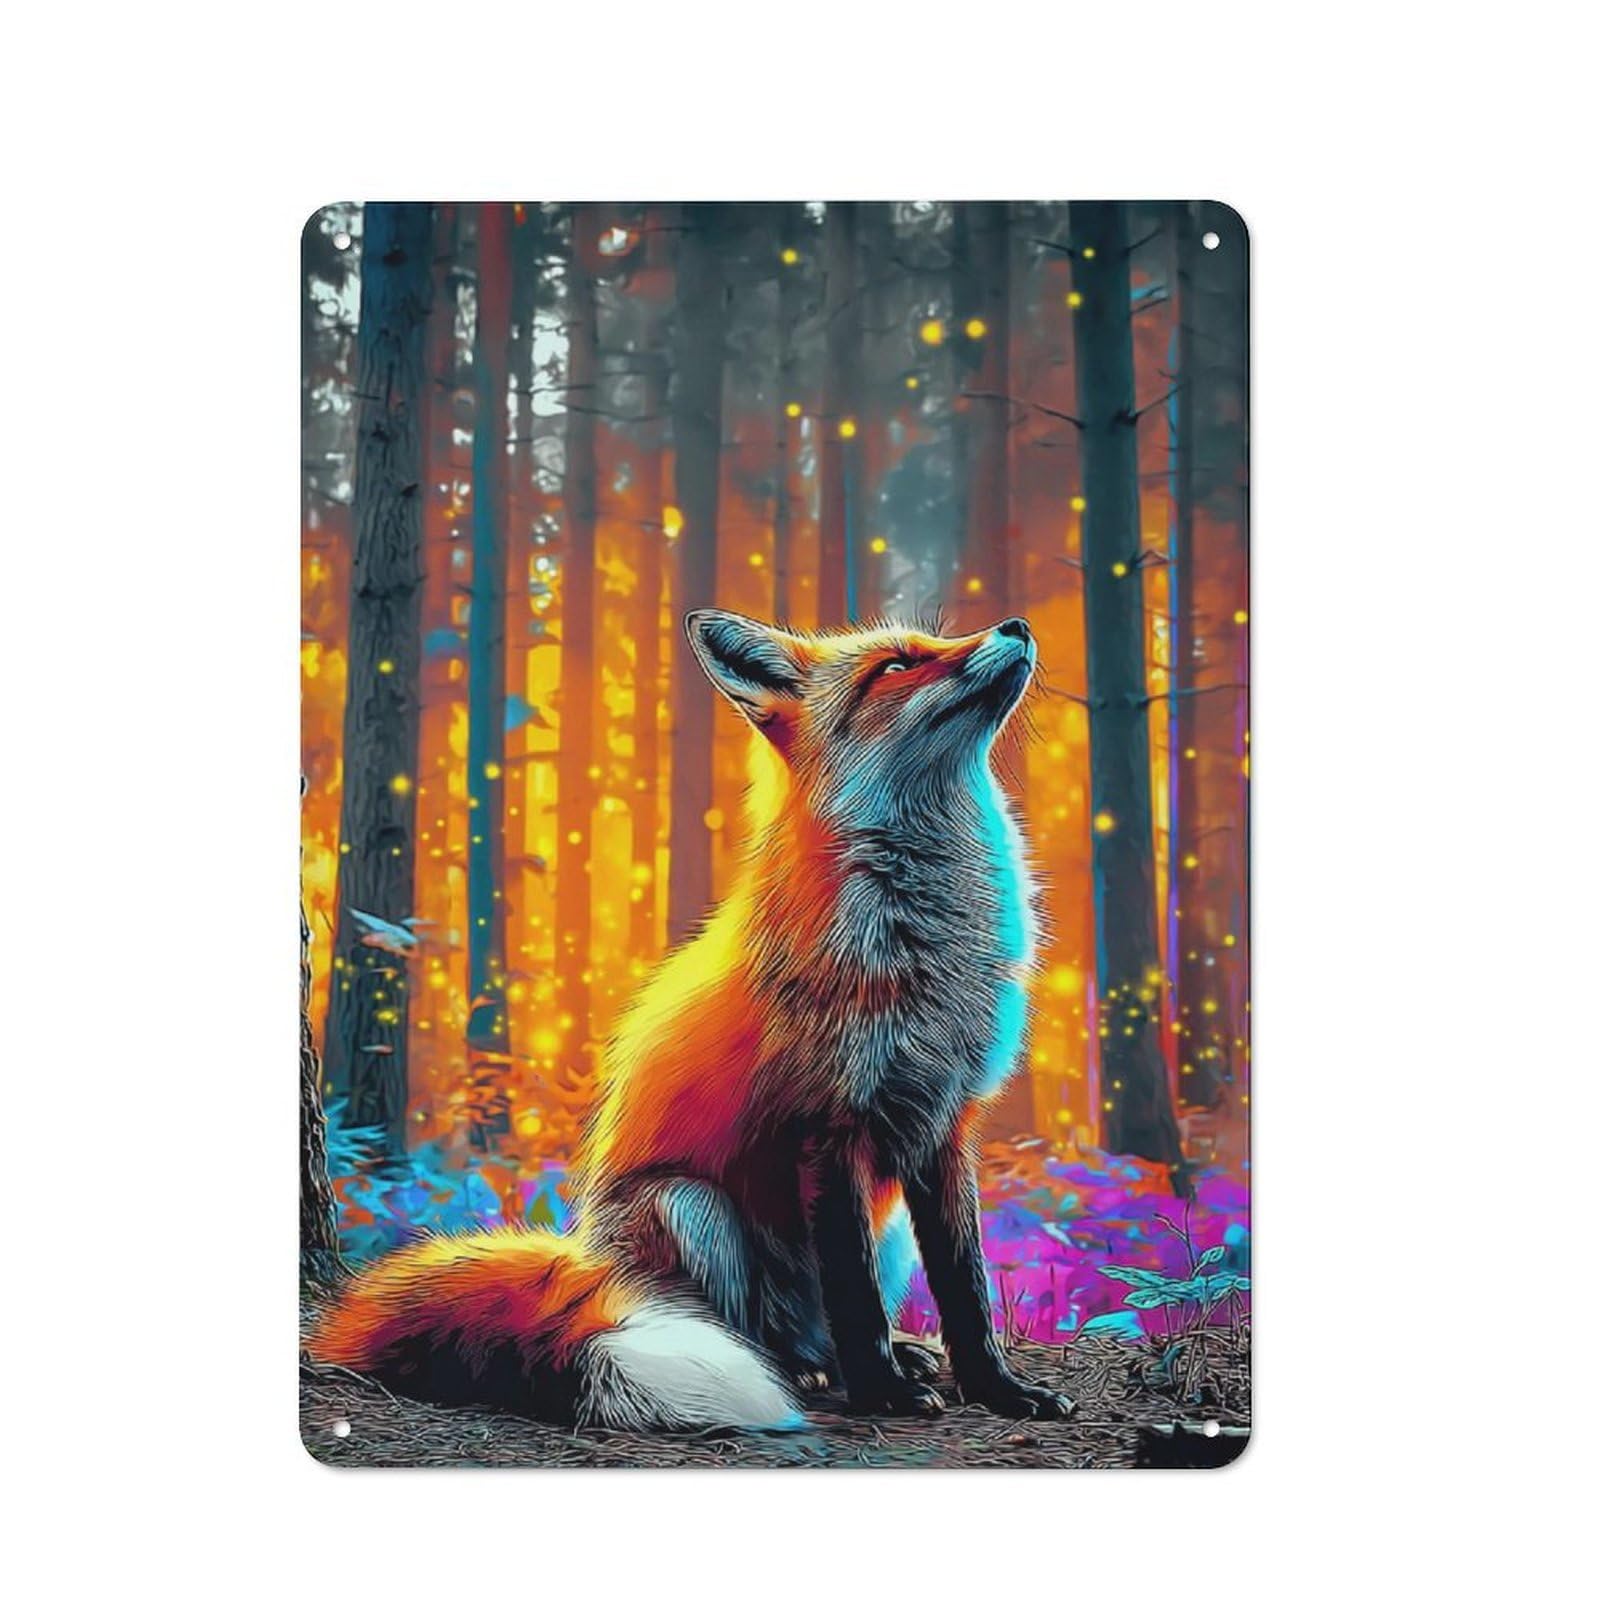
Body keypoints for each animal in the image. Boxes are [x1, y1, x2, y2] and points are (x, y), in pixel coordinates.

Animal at [309, 609, 1072, 1431]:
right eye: (897, 666)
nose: (1016, 624)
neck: (923, 950)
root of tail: (586, 1260)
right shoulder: (826, 1125)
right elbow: (856, 1297)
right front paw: (885, 1394)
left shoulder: (946, 1123)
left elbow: (968, 1292)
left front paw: (999, 1390)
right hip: (689, 1206)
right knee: (759, 1335)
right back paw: (805, 1371)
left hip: (887, 1224)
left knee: (823, 1330)